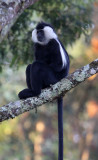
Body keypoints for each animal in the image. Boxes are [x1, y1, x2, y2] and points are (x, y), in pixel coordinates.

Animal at [18, 21, 69, 160]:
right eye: (38, 32)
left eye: (41, 32)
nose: (39, 35)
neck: (45, 43)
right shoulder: (37, 46)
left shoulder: (54, 44)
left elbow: (57, 64)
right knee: (30, 66)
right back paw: (29, 92)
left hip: (53, 79)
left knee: (36, 66)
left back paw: (35, 92)